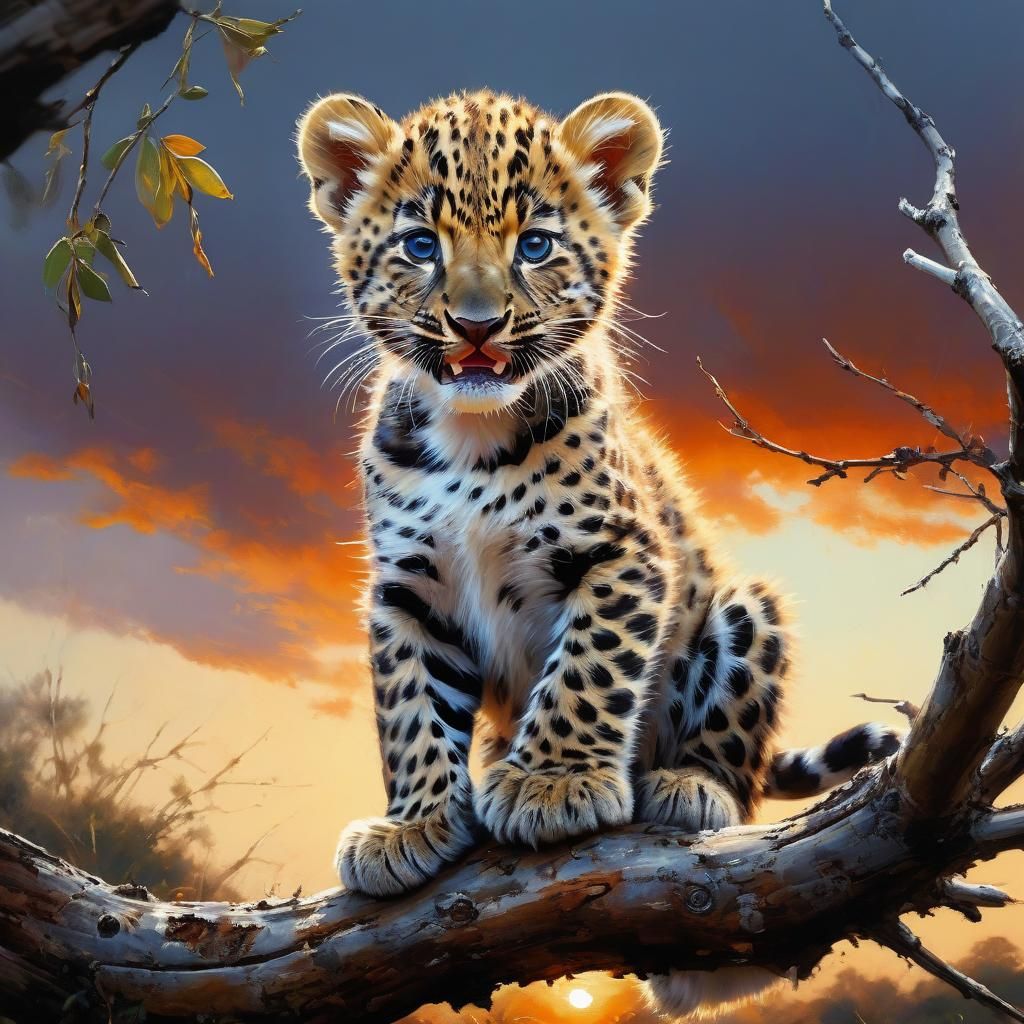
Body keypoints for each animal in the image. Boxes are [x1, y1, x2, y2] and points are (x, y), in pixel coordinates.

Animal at [296, 88, 902, 1019]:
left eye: (535, 245)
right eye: (421, 245)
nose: (476, 327)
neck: (471, 435)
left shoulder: (620, 555)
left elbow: (587, 670)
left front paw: (552, 784)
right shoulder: (409, 590)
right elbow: (410, 709)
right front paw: (413, 822)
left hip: (744, 609)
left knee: (734, 756)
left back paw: (690, 787)